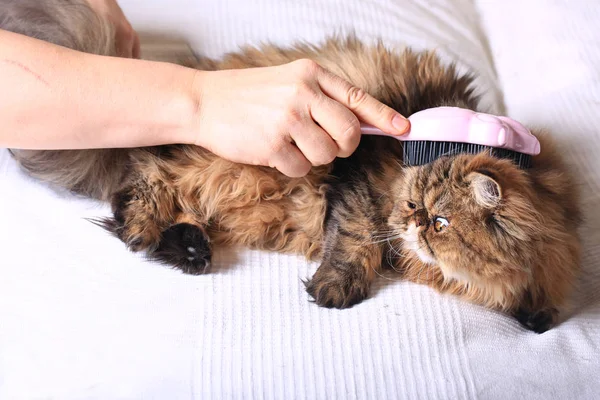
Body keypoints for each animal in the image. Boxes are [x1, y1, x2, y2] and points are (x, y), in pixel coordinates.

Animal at [1, 0, 580, 334]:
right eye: (415, 204)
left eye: (439, 221)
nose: (410, 220)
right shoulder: (359, 177)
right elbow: (355, 240)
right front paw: (335, 289)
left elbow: (546, 293)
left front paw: (537, 314)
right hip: (190, 163)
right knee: (135, 197)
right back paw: (156, 234)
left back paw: (191, 249)